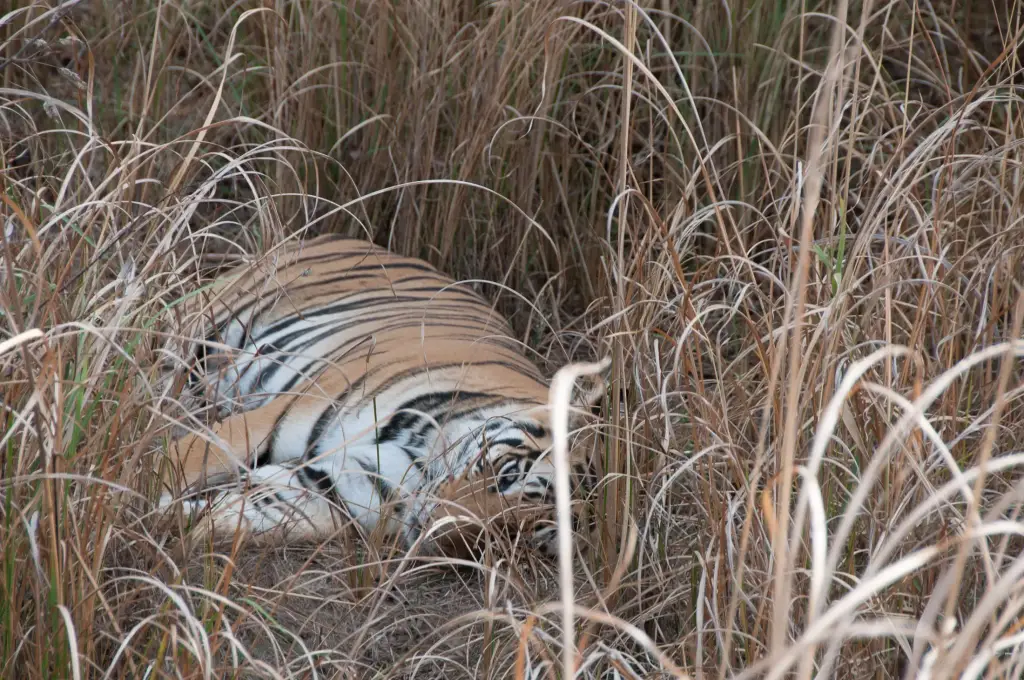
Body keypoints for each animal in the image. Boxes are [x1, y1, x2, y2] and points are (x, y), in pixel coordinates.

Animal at [157, 234, 605, 558]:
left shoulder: (331, 490)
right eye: (507, 475)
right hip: (203, 322)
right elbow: (174, 465)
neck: (420, 461)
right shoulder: (269, 420)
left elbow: (243, 517)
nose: (439, 539)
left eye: (523, 533)